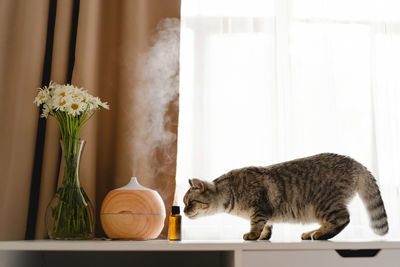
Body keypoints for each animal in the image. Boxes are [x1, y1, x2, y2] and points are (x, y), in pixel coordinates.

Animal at [183, 153, 390, 241]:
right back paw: (311, 232)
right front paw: (263, 236)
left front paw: (252, 235)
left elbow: (256, 223)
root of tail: (355, 163)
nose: (184, 211)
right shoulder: (266, 213)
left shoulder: (259, 208)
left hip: (324, 204)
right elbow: (267, 226)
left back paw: (319, 234)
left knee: (342, 219)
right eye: (184, 203)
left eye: (190, 202)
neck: (230, 191)